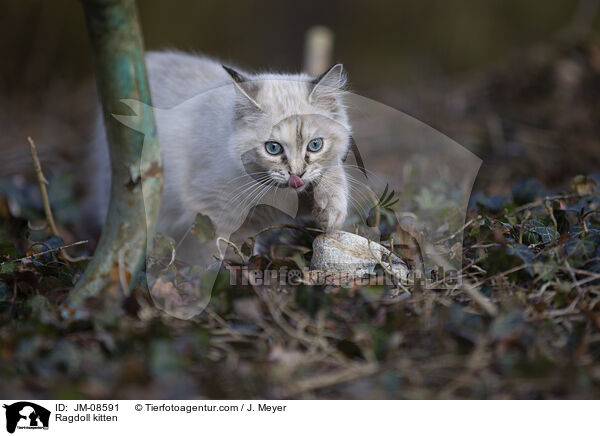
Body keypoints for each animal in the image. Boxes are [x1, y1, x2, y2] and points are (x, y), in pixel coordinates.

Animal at [82, 51, 350, 254]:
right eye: (273, 148)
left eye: (315, 145)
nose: (297, 175)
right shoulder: (212, 211)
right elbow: (219, 253)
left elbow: (333, 173)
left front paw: (331, 211)